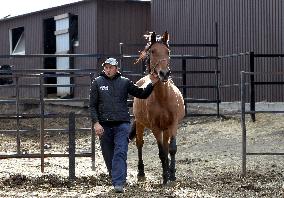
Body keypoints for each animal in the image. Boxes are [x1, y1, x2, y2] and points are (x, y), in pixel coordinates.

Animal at [130, 31, 185, 184]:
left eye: (168, 52)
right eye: (153, 51)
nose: (164, 73)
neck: (163, 99)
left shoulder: (173, 124)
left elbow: (171, 149)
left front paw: (172, 175)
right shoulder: (155, 127)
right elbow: (161, 152)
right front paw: (165, 177)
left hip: (165, 129)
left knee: (166, 147)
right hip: (140, 124)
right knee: (139, 143)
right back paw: (141, 172)